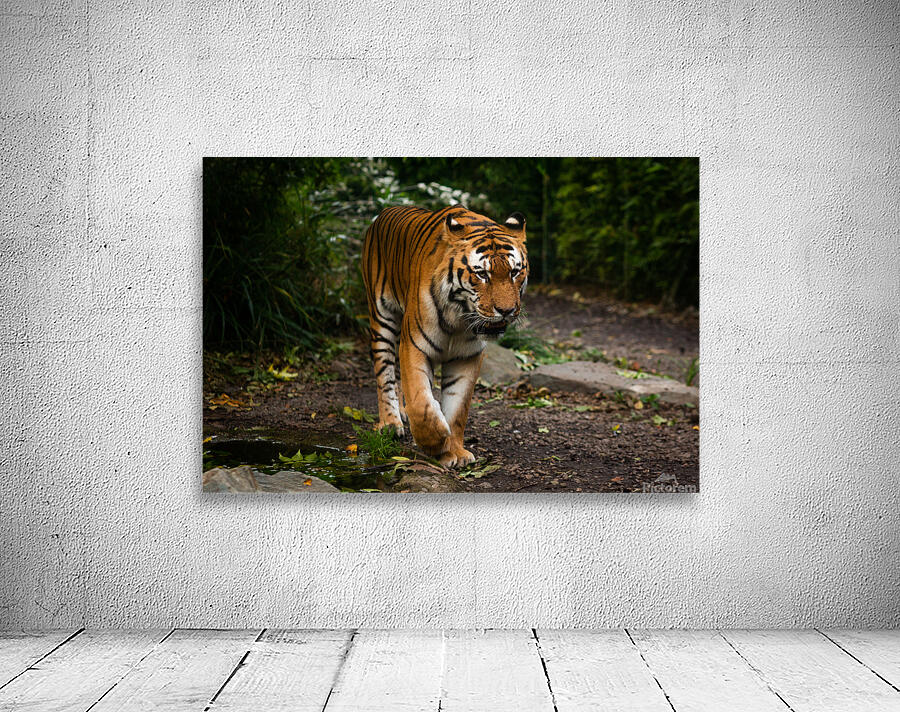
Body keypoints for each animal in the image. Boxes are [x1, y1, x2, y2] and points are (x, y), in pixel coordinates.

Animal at [361, 204, 529, 468]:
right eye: (482, 274)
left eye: (514, 272)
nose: (507, 310)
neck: (458, 319)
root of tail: (386, 211)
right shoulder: (415, 346)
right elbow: (421, 403)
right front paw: (436, 440)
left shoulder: (467, 357)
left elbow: (458, 408)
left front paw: (455, 452)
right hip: (381, 319)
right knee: (384, 373)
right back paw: (390, 424)